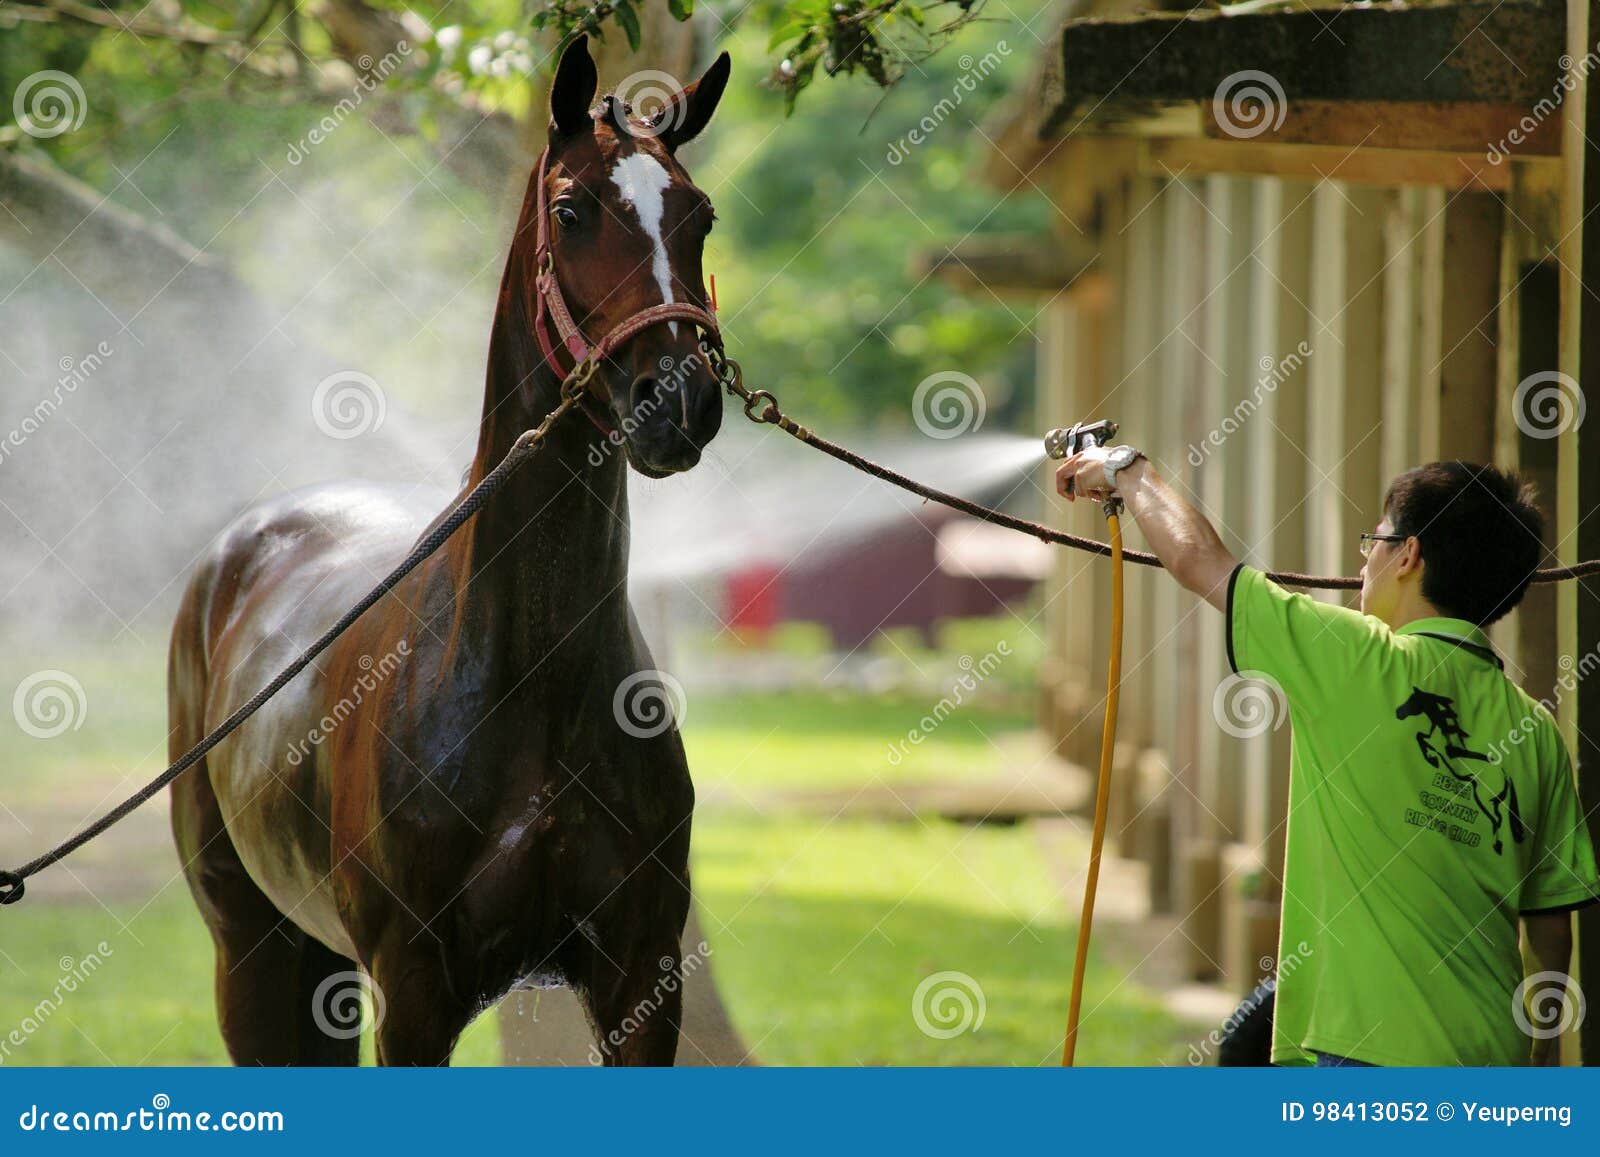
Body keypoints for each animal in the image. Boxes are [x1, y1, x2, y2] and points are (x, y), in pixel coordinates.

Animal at [166, 37, 731, 1065]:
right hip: (250, 947)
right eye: (571, 210)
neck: (527, 677)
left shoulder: (640, 980)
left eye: (699, 214)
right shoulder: (416, 994)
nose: (678, 400)